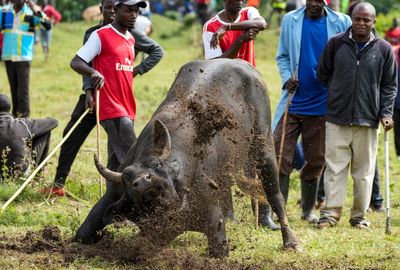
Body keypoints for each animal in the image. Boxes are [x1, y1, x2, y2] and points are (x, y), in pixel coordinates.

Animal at [76, 58, 298, 256]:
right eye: (128, 179)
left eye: (158, 166)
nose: (142, 181)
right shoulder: (113, 195)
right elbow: (82, 234)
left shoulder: (213, 220)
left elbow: (219, 247)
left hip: (264, 146)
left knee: (275, 195)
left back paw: (291, 242)